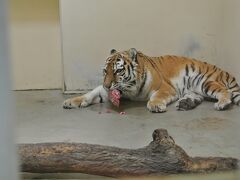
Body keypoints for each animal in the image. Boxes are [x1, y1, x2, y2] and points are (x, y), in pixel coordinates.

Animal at [62, 48, 240, 112]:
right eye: (105, 71)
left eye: (118, 70)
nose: (107, 86)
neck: (129, 89)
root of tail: (224, 72)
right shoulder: (105, 91)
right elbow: (89, 94)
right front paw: (71, 101)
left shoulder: (166, 88)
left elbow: (157, 96)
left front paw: (155, 105)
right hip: (195, 89)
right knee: (197, 97)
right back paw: (185, 104)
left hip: (205, 82)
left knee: (226, 92)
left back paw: (222, 104)